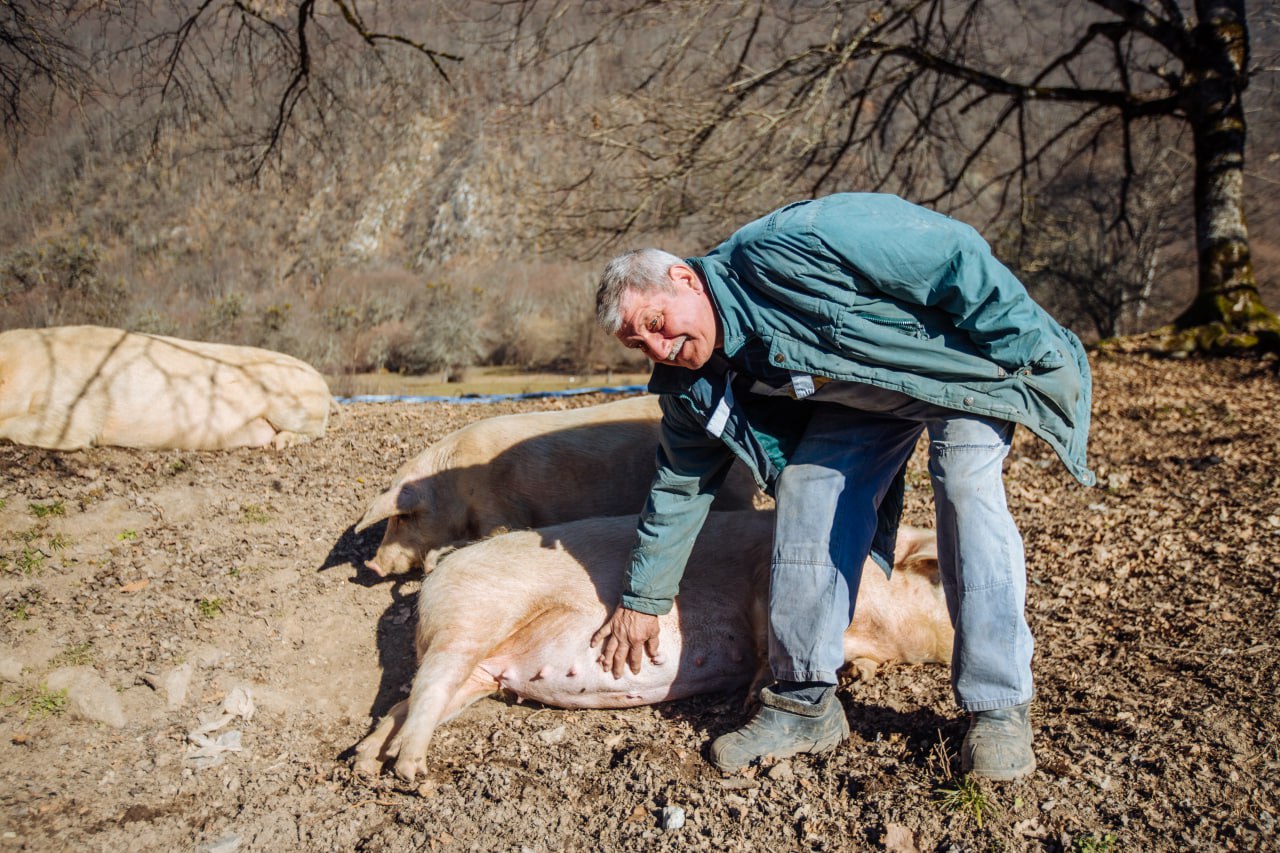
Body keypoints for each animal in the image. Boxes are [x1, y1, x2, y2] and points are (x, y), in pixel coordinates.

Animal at [355, 507, 957, 778]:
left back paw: (365, 760)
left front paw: (854, 674)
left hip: (479, 671)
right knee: (423, 692)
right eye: (942, 583)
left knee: (406, 702)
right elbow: (770, 641)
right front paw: (750, 698)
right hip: (466, 619)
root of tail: (441, 567)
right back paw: (410, 773)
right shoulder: (767, 578)